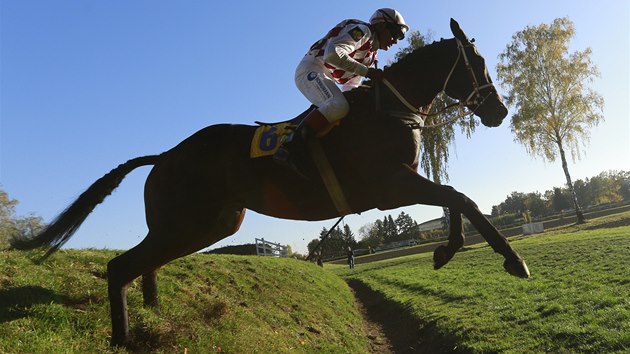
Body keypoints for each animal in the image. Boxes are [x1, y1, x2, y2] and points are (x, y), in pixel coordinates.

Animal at [12, 19, 532, 346]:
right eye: (478, 66)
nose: (499, 112)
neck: (390, 107)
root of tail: (166, 156)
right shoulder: (391, 184)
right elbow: (459, 197)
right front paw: (512, 260)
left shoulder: (399, 185)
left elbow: (455, 201)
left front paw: (447, 251)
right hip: (188, 223)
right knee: (122, 266)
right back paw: (124, 338)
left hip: (210, 225)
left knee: (144, 263)